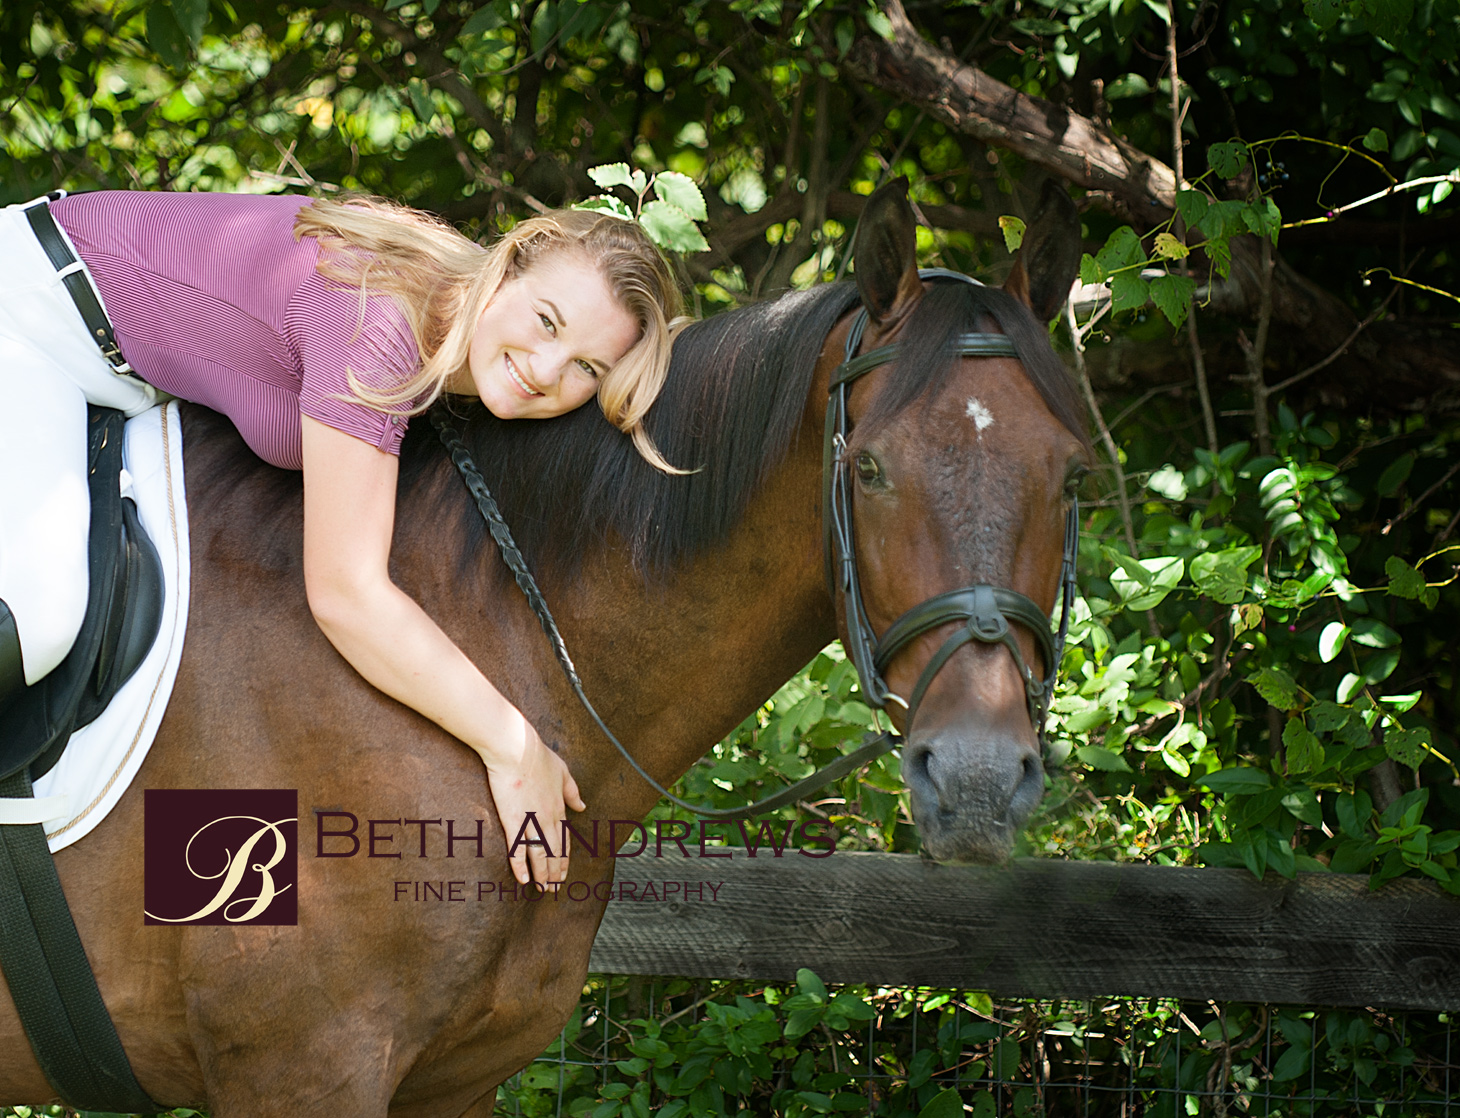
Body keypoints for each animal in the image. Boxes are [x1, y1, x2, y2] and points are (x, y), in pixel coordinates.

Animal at [0, 179, 1086, 1115]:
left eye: (1073, 474)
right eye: (869, 468)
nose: (981, 781)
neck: (490, 647)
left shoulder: (452, 1081)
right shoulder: (300, 1069)